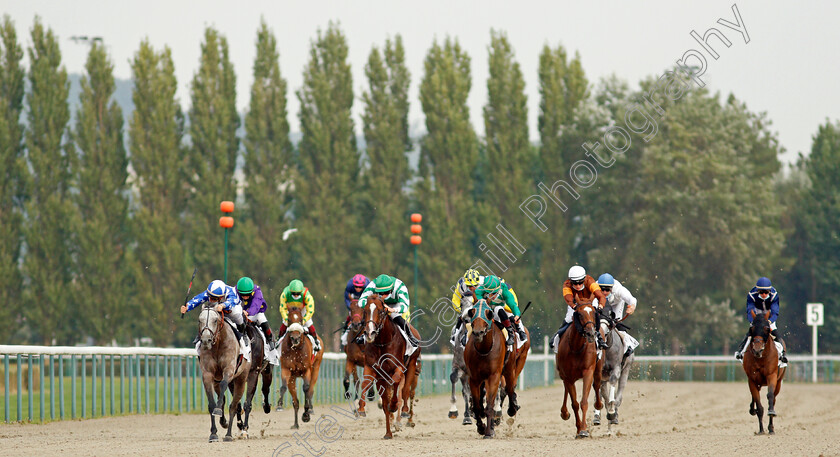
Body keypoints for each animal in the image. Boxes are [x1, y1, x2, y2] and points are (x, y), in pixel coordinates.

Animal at [196, 304, 249, 440]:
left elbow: (224, 385)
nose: (206, 340)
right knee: (225, 399)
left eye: (215, 320)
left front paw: (218, 411)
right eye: (199, 320)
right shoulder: (207, 375)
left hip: (241, 379)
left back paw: (229, 434)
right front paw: (213, 433)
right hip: (218, 380)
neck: (218, 345)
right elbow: (211, 404)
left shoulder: (229, 370)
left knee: (233, 406)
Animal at [360, 292, 424, 438]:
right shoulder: (373, 369)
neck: (383, 342)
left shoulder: (398, 367)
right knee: (385, 404)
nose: (370, 333)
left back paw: (405, 412)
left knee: (406, 391)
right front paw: (361, 408)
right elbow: (365, 384)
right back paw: (388, 433)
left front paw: (394, 405)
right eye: (365, 311)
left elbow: (396, 384)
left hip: (412, 365)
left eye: (381, 311)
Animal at [460, 300, 520, 438]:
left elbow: (490, 405)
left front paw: (488, 431)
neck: (484, 350)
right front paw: (481, 427)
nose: (478, 332)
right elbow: (477, 406)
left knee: (509, 389)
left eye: (488, 313)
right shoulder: (474, 378)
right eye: (472, 312)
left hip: (509, 368)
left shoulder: (494, 376)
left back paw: (512, 408)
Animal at [556, 300, 600, 438]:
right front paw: (579, 428)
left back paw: (599, 404)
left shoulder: (588, 371)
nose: (591, 334)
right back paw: (564, 413)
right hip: (563, 373)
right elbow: (574, 403)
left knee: (597, 384)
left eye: (594, 312)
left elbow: (584, 402)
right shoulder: (568, 376)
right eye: (579, 314)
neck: (577, 347)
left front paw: (584, 430)